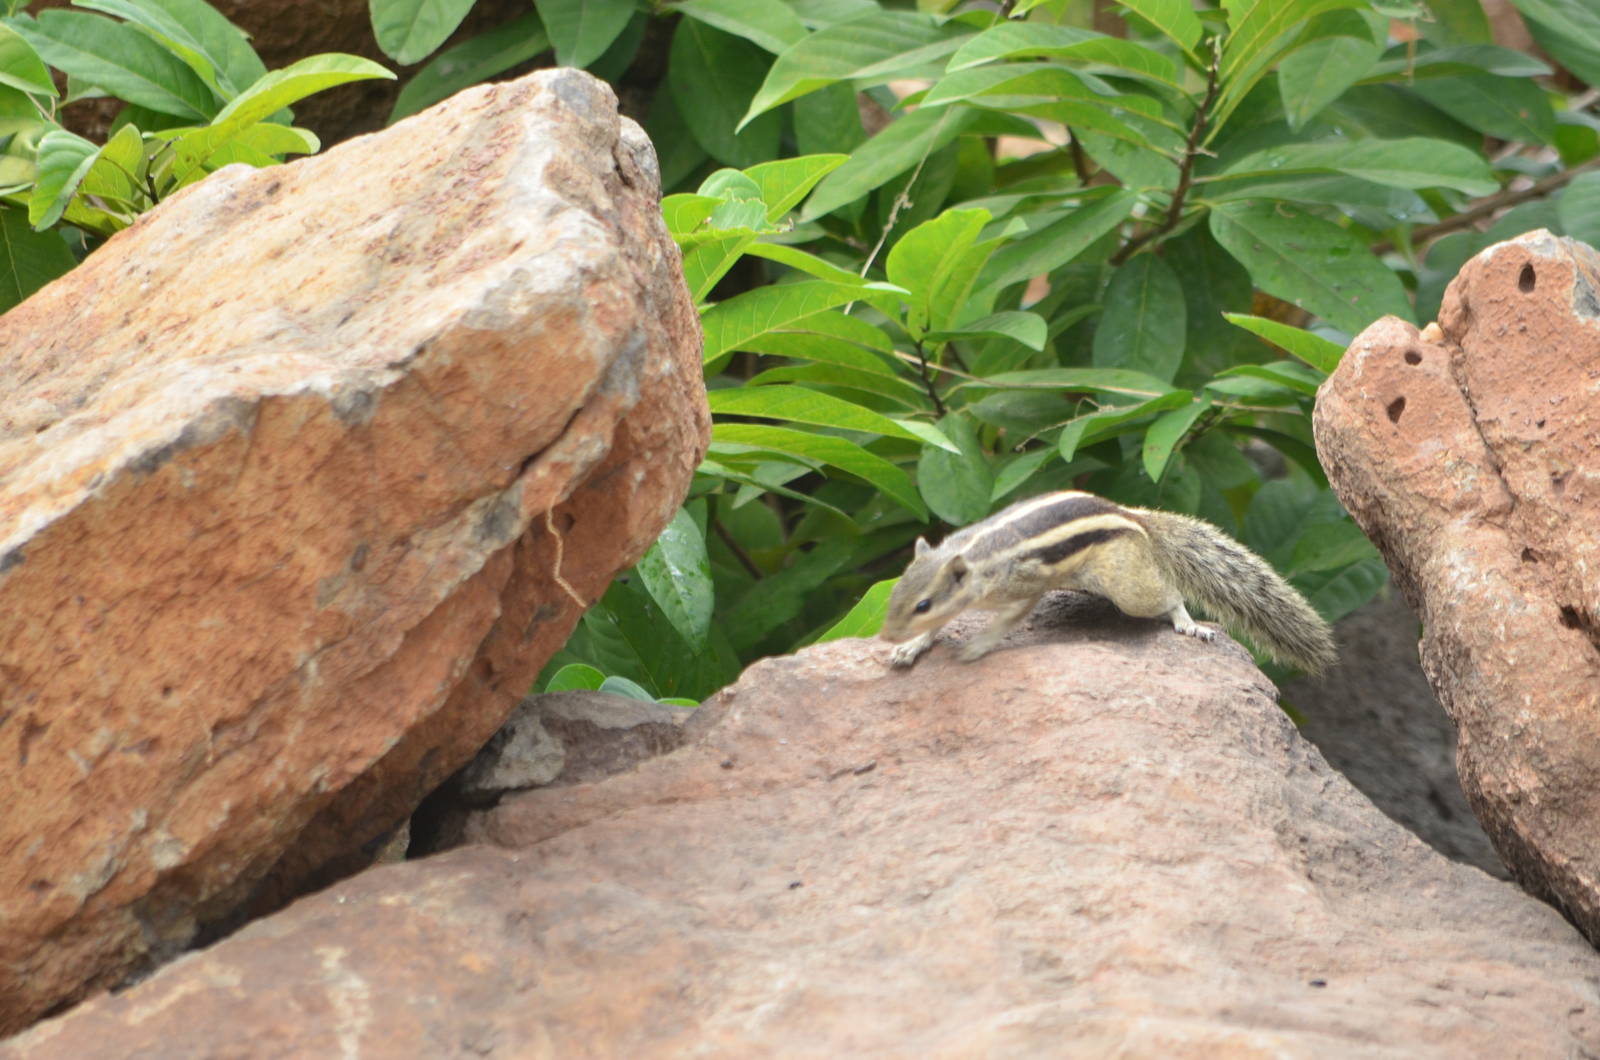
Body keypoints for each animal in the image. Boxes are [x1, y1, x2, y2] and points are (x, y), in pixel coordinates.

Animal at [879, 490, 1336, 673]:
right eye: (894, 596)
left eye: (922, 604)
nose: (884, 635)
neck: (974, 558)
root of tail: (1135, 517)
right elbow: (939, 627)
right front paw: (910, 647)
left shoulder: (1024, 584)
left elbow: (1007, 620)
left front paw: (976, 646)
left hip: (1127, 586)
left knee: (1169, 595)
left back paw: (1188, 624)